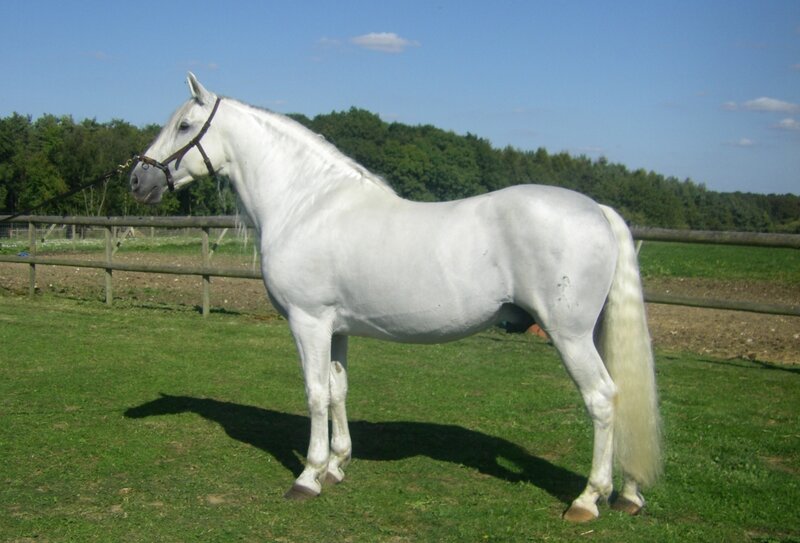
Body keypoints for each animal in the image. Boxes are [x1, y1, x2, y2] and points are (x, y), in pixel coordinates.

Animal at [129, 73, 661, 522]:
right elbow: (338, 389)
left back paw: (588, 499)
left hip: (569, 335)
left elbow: (315, 393)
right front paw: (337, 466)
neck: (307, 205)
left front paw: (308, 476)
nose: (138, 179)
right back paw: (628, 493)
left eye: (184, 125)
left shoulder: (308, 322)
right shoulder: (336, 327)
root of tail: (596, 208)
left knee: (602, 398)